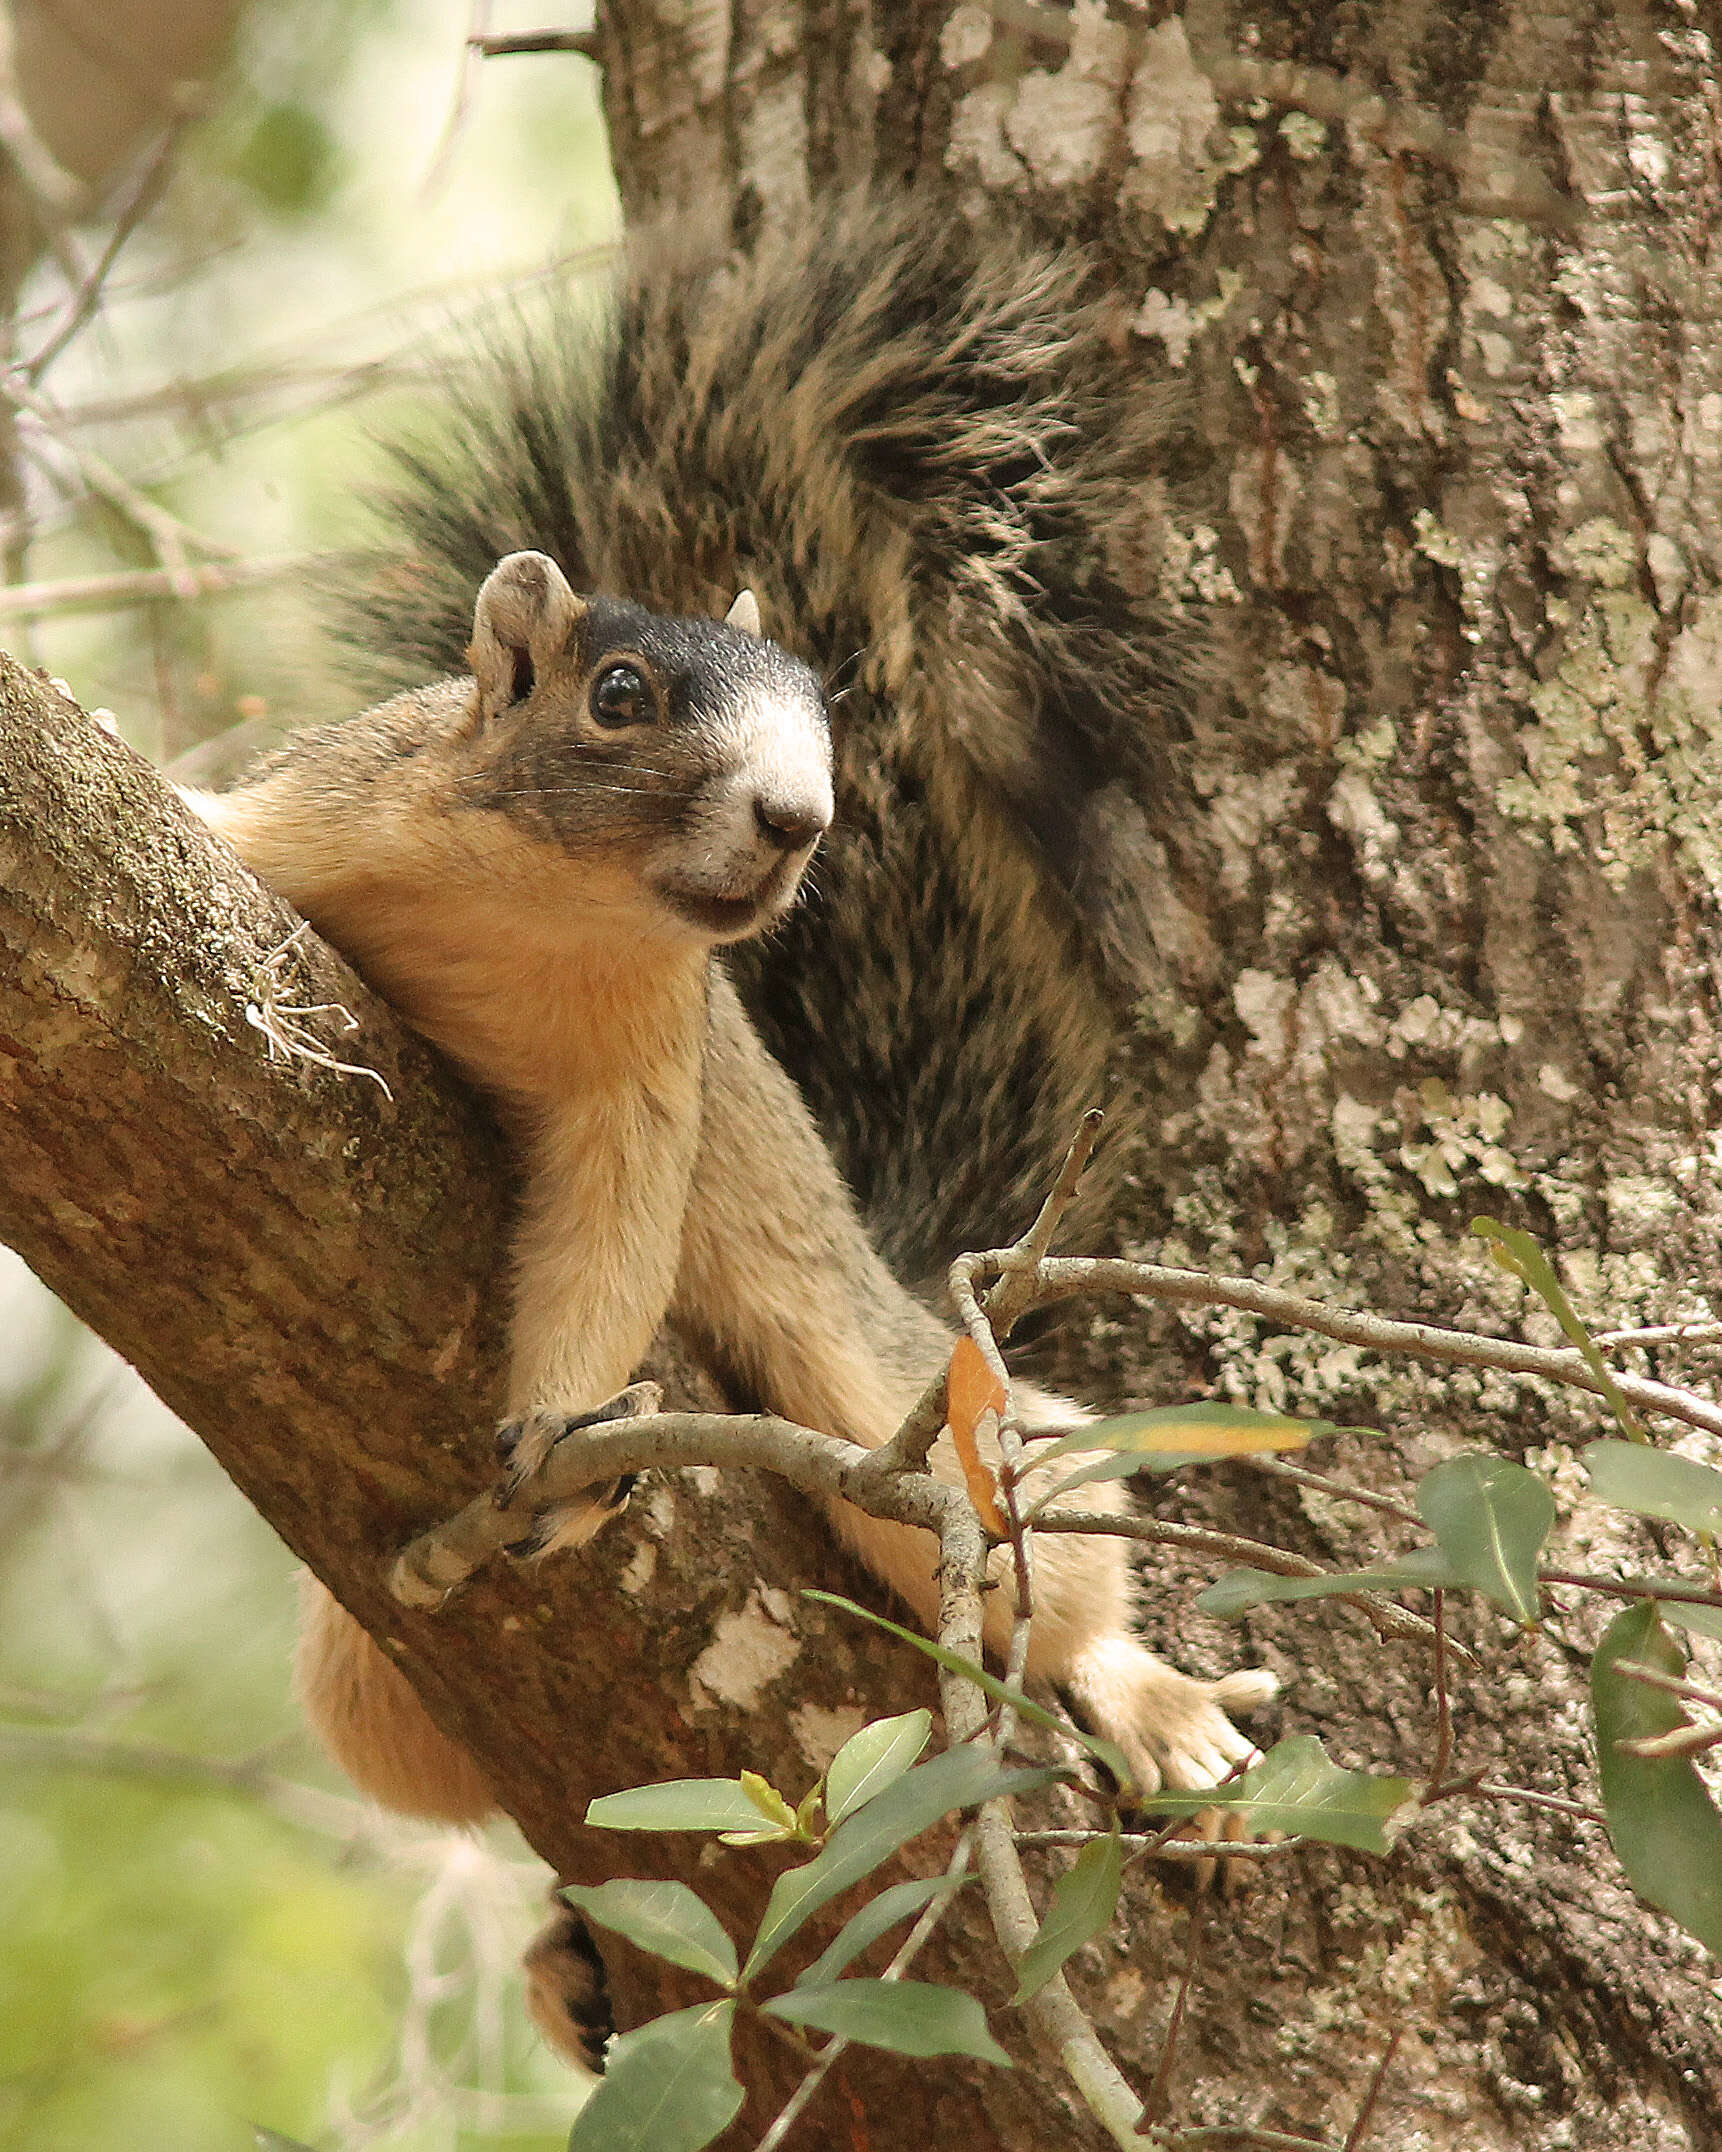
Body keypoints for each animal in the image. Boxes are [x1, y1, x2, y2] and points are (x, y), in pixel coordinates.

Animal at [181, 197, 1274, 2065]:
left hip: (890, 1405)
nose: (798, 818)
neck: (545, 908)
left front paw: (556, 1433)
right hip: (364, 1684)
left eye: (830, 716)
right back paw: (565, 1963)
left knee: (1043, 1565)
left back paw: (1156, 1709)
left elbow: (617, 1234)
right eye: (616, 693)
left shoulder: (650, 1069)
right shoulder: (291, 829)